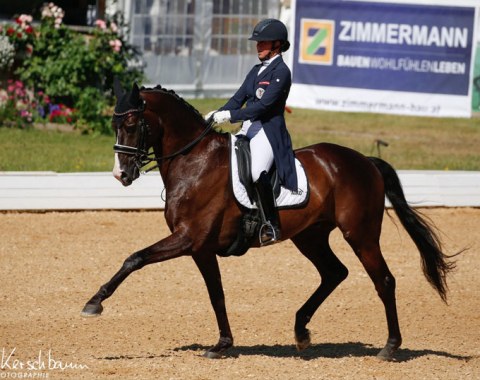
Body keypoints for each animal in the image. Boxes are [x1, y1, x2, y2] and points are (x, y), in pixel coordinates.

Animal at [80, 81, 456, 360]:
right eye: (114, 125)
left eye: (131, 125)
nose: (121, 175)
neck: (194, 161)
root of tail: (364, 160)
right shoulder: (201, 248)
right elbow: (216, 294)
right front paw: (222, 345)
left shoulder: (189, 238)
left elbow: (134, 258)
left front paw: (94, 303)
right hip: (310, 236)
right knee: (334, 273)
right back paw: (301, 332)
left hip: (360, 234)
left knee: (384, 280)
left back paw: (390, 347)